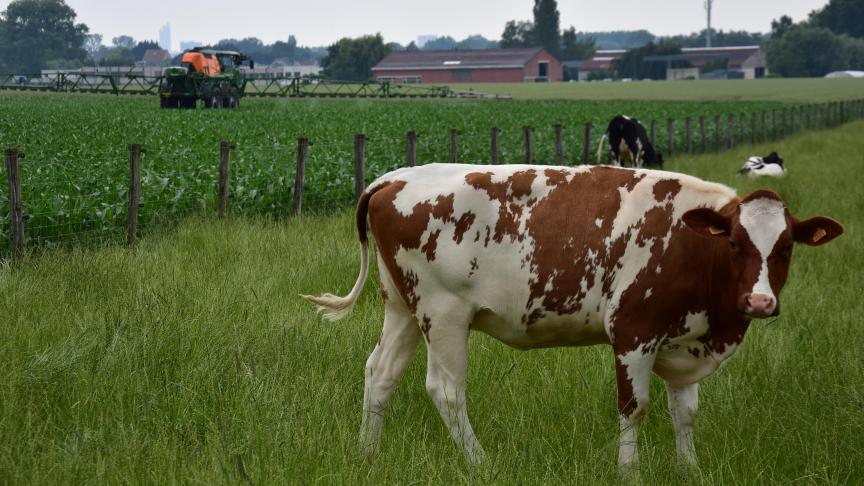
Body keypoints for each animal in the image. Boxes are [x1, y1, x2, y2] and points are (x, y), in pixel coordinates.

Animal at [300, 163, 840, 474]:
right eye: (734, 243)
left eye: (786, 247)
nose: (760, 302)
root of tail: (391, 178)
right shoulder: (634, 332)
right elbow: (635, 408)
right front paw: (629, 472)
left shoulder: (686, 339)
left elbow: (685, 411)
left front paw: (691, 470)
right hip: (443, 311)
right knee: (446, 390)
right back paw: (482, 463)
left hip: (402, 308)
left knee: (380, 373)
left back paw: (368, 454)